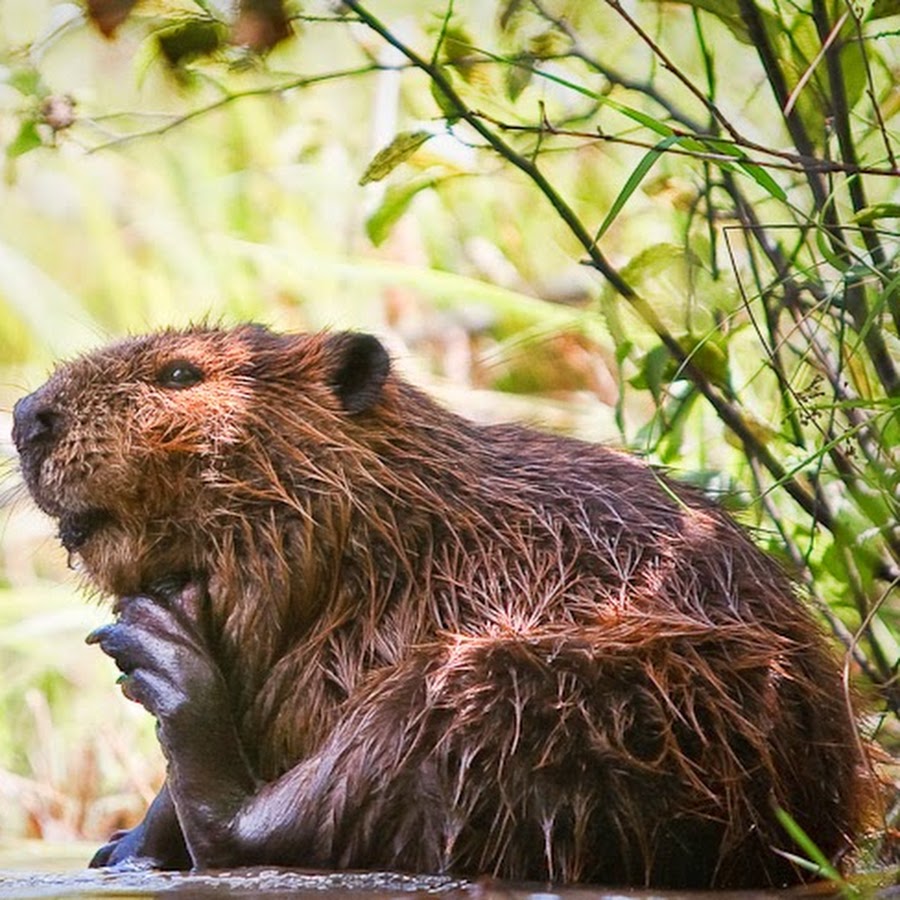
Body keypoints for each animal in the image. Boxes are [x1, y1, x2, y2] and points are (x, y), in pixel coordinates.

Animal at [12, 322, 872, 884]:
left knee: (280, 816)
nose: (26, 415)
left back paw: (163, 662)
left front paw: (157, 627)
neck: (406, 542)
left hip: (534, 684)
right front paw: (127, 842)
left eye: (181, 375)